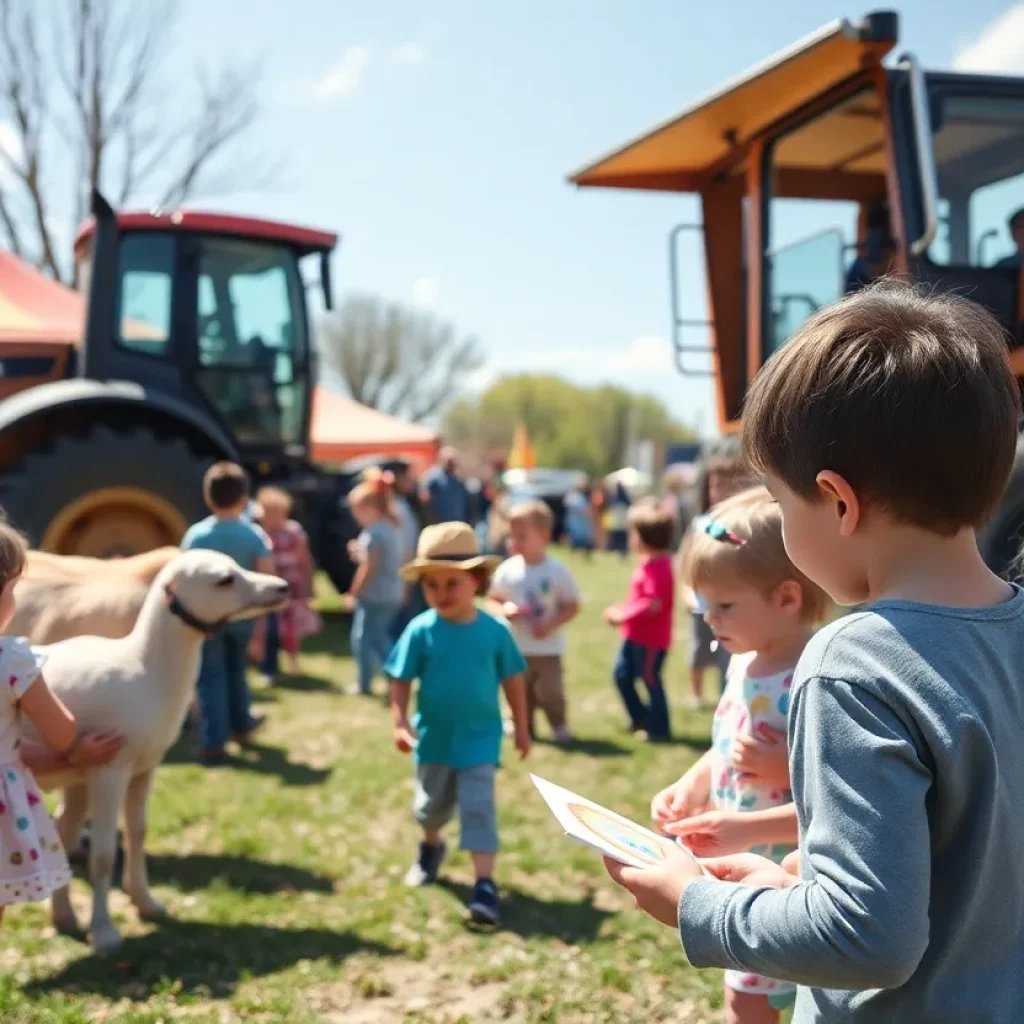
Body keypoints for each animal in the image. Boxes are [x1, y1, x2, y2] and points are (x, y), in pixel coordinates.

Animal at [32, 548, 288, 954]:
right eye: (224, 579)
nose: (282, 587)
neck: (146, 670)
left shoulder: (142, 767)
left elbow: (138, 832)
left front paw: (147, 903)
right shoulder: (109, 770)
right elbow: (103, 854)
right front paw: (104, 933)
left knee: (64, 834)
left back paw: (64, 916)